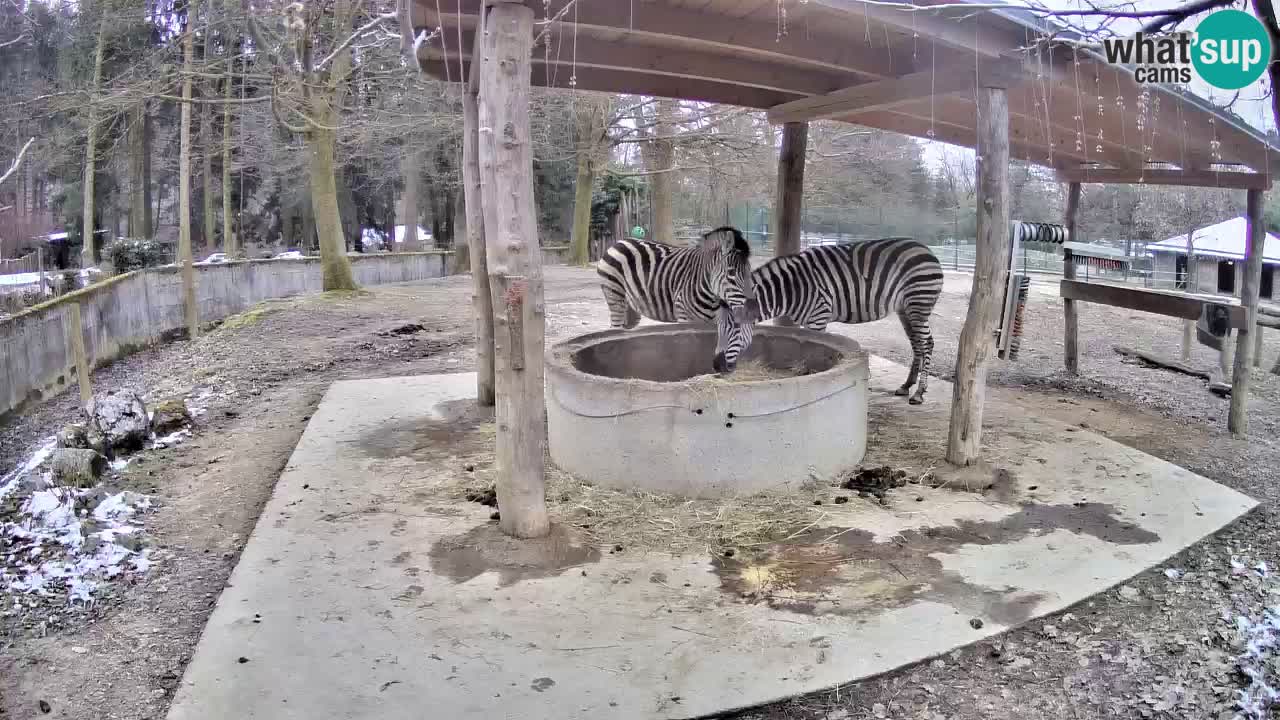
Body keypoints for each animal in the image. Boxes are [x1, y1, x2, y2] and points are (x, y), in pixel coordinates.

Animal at [599, 224, 757, 368]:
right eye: (731, 273)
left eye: (749, 271)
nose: (753, 309)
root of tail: (620, 242)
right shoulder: (684, 318)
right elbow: (689, 346)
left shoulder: (714, 320)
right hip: (615, 296)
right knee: (615, 327)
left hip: (631, 306)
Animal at [716, 237, 947, 399]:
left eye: (735, 327)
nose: (716, 366)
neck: (791, 289)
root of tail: (926, 249)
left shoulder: (818, 317)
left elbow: (812, 351)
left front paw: (809, 379)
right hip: (905, 309)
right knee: (917, 344)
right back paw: (906, 386)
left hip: (919, 303)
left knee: (927, 343)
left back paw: (919, 393)